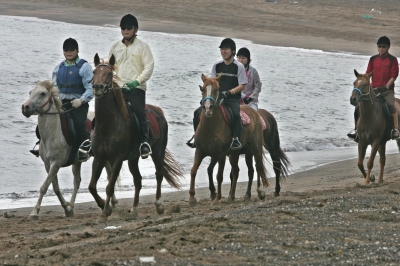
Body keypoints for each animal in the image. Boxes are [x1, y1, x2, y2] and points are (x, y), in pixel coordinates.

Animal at [21, 81, 116, 220]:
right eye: (30, 92)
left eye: (42, 93)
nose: (25, 107)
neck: (54, 132)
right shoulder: (48, 165)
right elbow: (55, 188)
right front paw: (67, 209)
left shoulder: (56, 163)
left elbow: (44, 187)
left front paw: (34, 212)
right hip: (78, 161)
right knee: (77, 181)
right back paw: (73, 205)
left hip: (103, 157)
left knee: (109, 175)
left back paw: (111, 204)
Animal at [88, 54, 183, 222]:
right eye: (94, 72)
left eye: (109, 74)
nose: (98, 87)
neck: (108, 126)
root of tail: (158, 112)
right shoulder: (99, 158)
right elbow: (92, 186)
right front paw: (105, 207)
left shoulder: (117, 159)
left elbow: (109, 186)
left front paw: (105, 211)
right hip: (133, 159)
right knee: (138, 180)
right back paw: (134, 209)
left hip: (158, 152)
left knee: (159, 174)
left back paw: (159, 205)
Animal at [188, 74, 268, 207]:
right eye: (203, 89)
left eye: (216, 90)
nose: (208, 108)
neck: (210, 128)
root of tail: (254, 112)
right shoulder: (199, 151)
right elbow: (193, 171)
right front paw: (191, 198)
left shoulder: (221, 155)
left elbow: (219, 176)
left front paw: (217, 198)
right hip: (234, 154)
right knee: (236, 171)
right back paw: (231, 196)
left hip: (255, 148)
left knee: (258, 166)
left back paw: (260, 191)